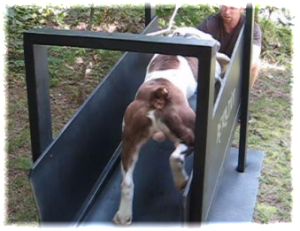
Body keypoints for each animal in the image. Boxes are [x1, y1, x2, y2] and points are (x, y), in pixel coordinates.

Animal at [112, 26, 230, 226]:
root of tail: (158, 95)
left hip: (129, 142)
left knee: (127, 181)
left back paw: (123, 215)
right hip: (190, 131)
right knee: (176, 156)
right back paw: (181, 181)